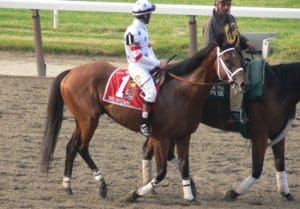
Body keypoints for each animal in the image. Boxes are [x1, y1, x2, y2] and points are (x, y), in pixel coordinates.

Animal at [39, 42, 248, 202]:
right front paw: (136, 194)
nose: (243, 83)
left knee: (71, 146)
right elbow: (162, 170)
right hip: (89, 120)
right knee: (82, 147)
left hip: (81, 120)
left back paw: (67, 185)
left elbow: (183, 165)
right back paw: (102, 185)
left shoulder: (183, 135)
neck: (182, 91)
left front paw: (189, 194)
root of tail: (71, 71)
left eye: (241, 59)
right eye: (227, 60)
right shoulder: (160, 136)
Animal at [143, 60, 300, 201]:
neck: (278, 87)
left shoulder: (277, 133)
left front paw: (286, 193)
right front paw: (234, 193)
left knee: (155, 152)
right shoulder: (259, 134)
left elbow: (279, 163)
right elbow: (257, 169)